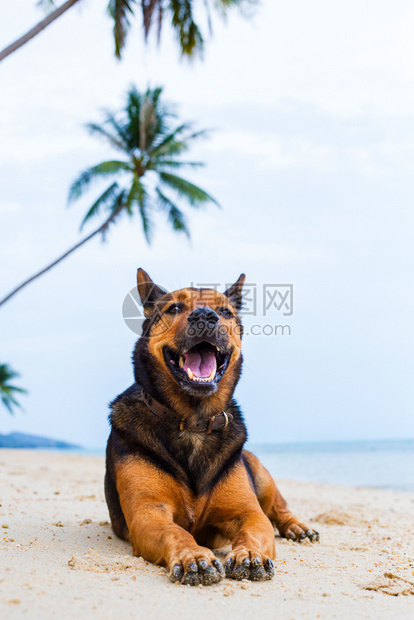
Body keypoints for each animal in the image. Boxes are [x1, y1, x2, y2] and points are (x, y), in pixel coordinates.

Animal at [105, 270, 318, 588]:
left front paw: (249, 555)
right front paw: (194, 556)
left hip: (259, 472)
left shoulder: (248, 513)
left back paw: (297, 528)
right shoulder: (148, 513)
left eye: (225, 312)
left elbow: (255, 529)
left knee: (279, 509)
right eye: (174, 308)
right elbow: (176, 531)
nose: (205, 316)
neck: (193, 420)